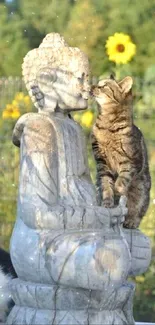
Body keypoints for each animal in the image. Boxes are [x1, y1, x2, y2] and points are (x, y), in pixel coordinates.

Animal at [91, 76, 151, 228]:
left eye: (103, 86)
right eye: (97, 84)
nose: (90, 86)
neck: (107, 125)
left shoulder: (132, 162)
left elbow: (121, 181)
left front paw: (118, 192)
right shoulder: (102, 163)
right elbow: (106, 185)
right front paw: (108, 202)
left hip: (142, 189)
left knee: (139, 211)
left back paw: (131, 221)